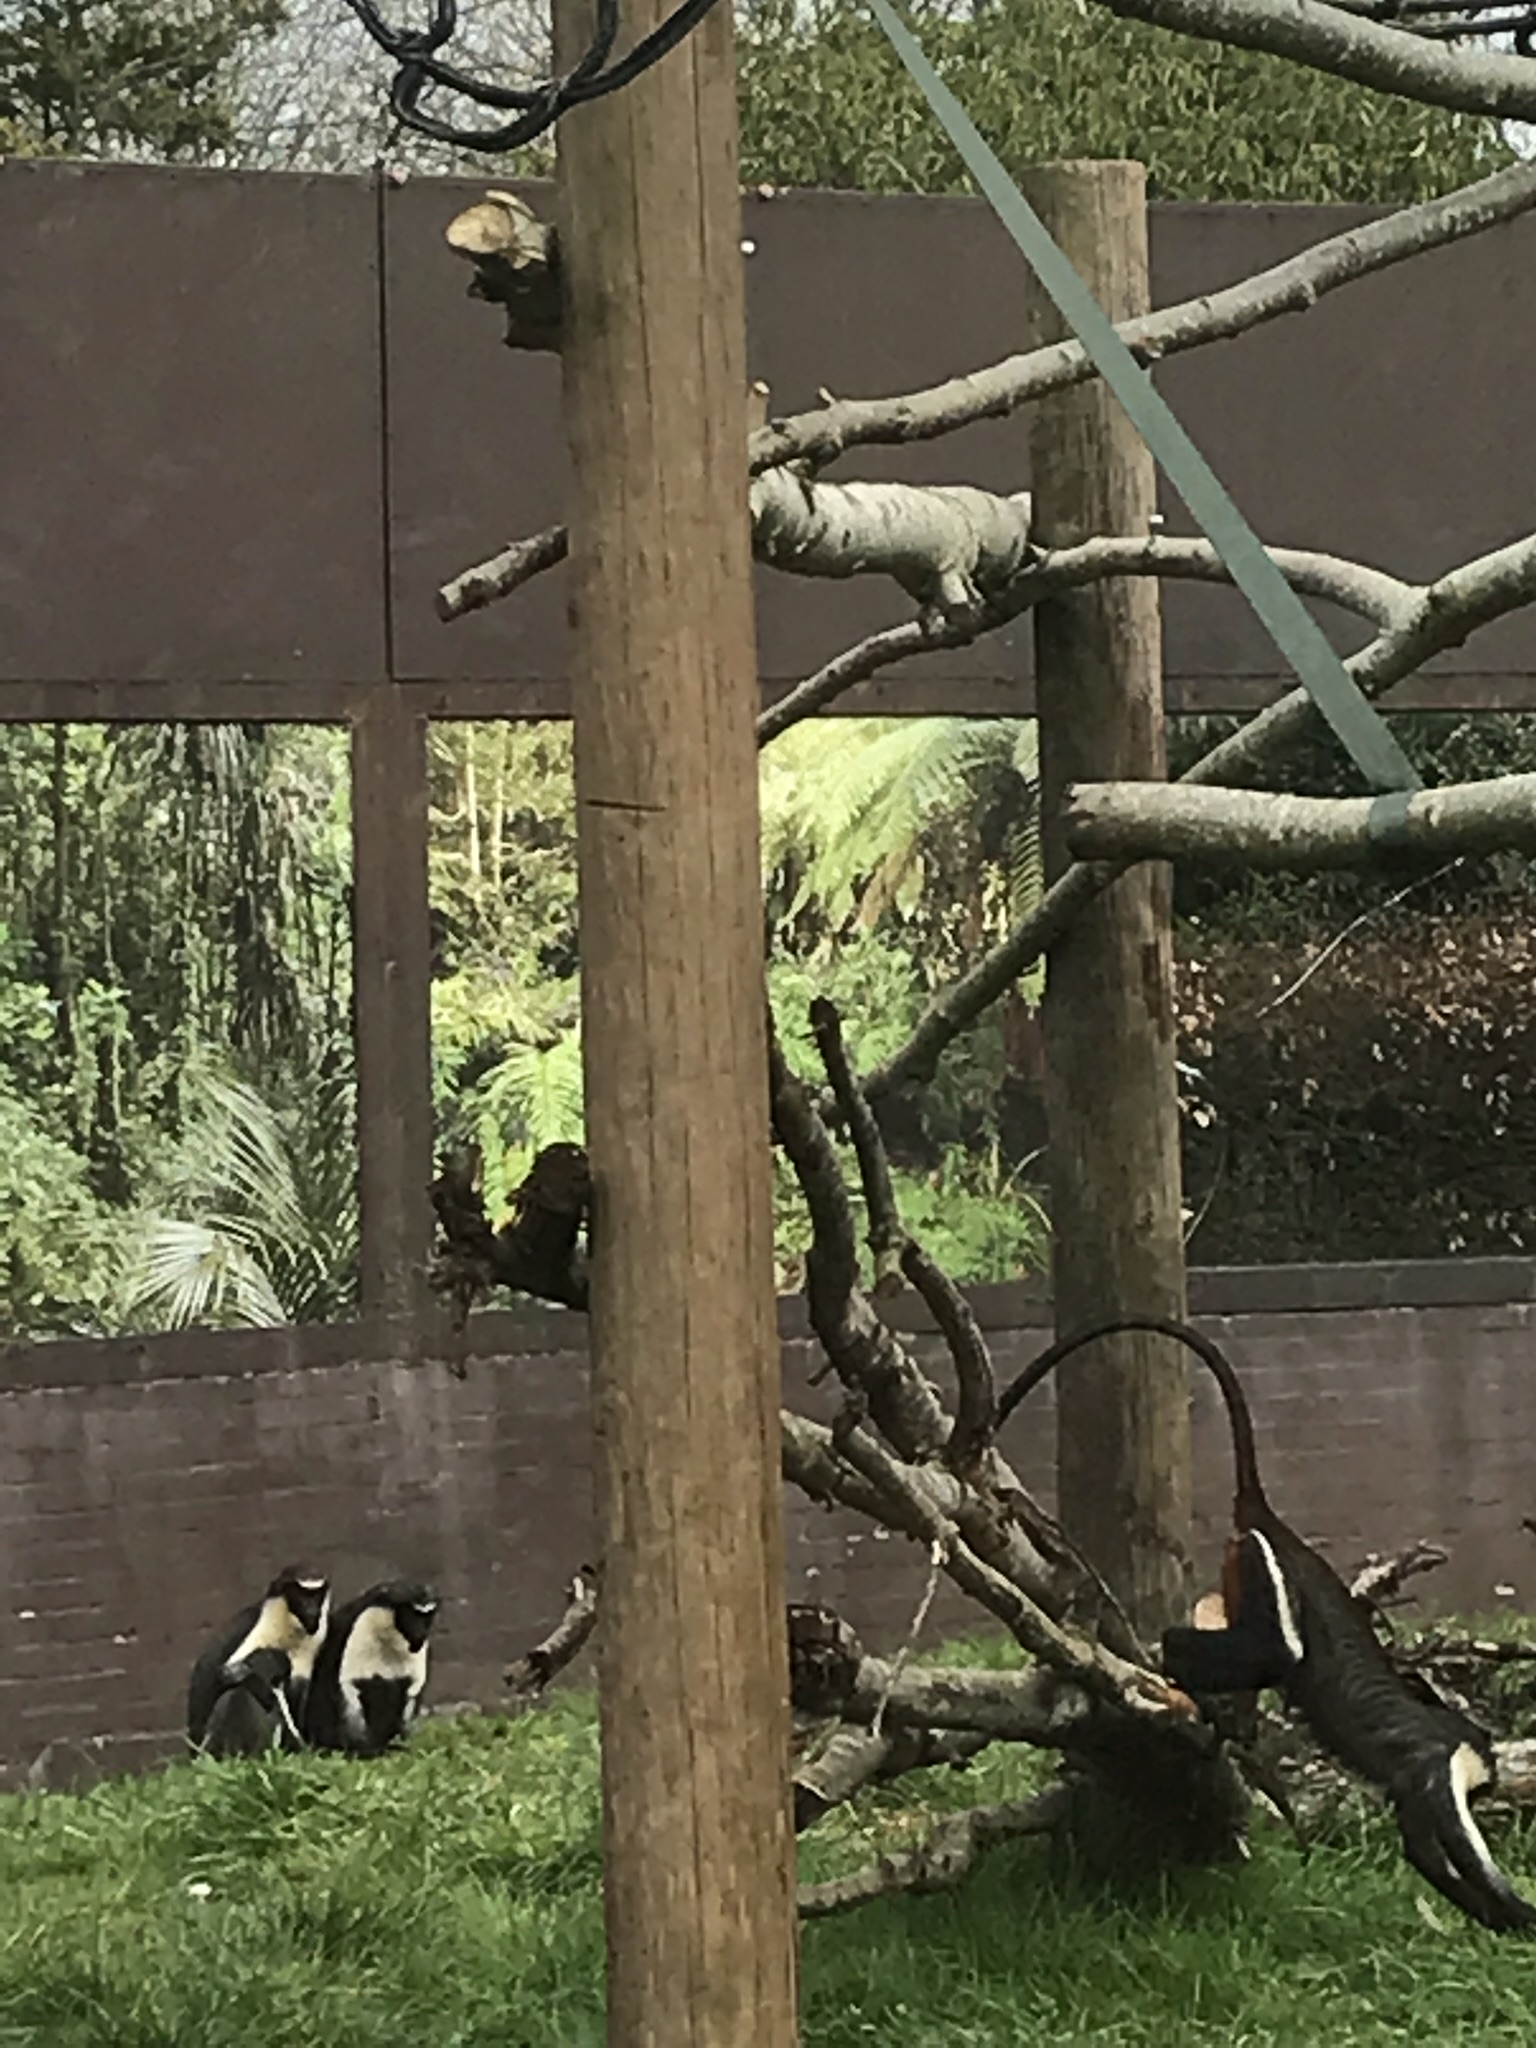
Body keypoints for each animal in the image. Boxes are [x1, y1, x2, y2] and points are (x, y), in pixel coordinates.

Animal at [186, 1565, 331, 1752]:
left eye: (316, 1596)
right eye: (300, 1596)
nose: (311, 1608)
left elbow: (297, 1694)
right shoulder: (260, 1628)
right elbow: (229, 1675)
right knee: (238, 1692)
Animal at [994, 1314, 1536, 1934]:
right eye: (1483, 1783)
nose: (1488, 1789)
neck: (1456, 1743)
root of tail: (1273, 1524)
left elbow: (1420, 1849)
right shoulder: (1437, 1769)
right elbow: (1443, 1839)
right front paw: (1520, 1917)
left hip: (1240, 1573)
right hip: (1262, 1563)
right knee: (1277, 1651)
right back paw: (1184, 1677)